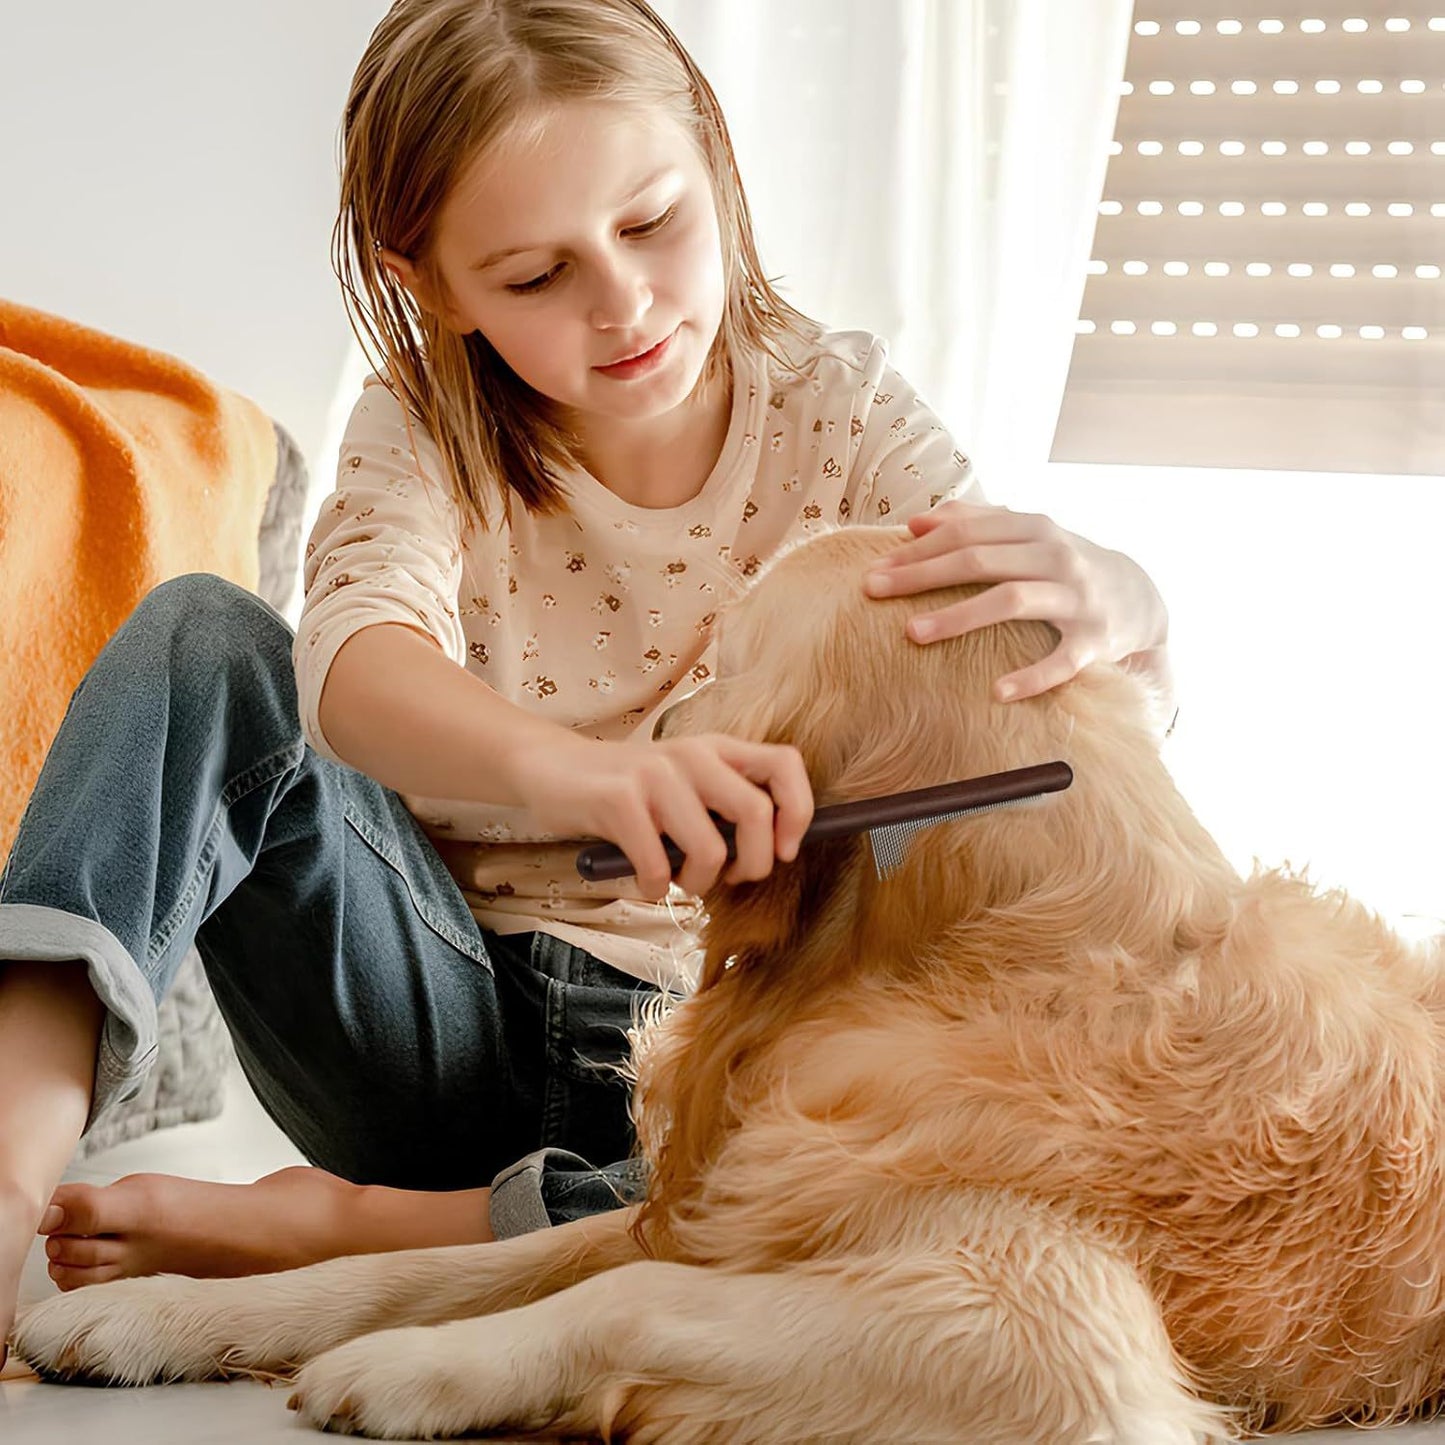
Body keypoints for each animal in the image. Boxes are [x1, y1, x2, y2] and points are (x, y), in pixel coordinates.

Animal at [11, 525, 1445, 1439]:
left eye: (730, 656)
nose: (652, 732)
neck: (994, 938)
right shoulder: (711, 1206)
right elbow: (410, 1267)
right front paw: (143, 1316)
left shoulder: (1043, 1329)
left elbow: (624, 1296)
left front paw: (419, 1367)